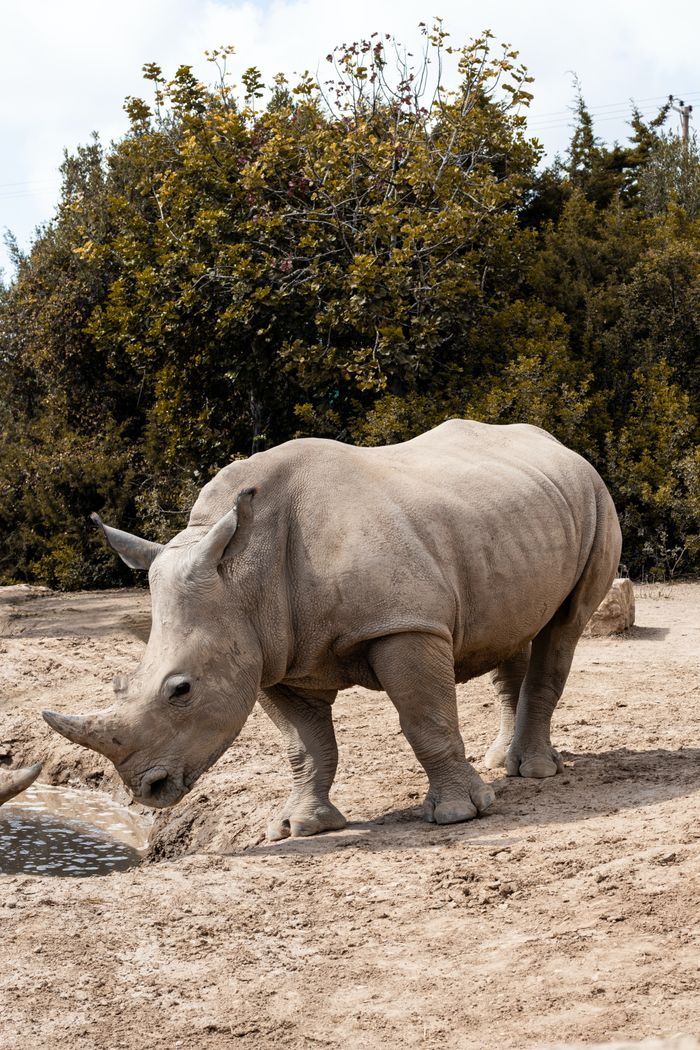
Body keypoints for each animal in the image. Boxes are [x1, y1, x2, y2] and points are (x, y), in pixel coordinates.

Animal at [43, 420, 621, 839]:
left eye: (181, 690)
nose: (147, 788)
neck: (242, 575)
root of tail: (561, 446)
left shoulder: (403, 626)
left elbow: (426, 720)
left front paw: (459, 815)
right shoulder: (270, 653)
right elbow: (306, 745)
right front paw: (299, 827)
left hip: (595, 498)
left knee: (564, 627)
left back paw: (534, 773)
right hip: (513, 518)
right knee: (514, 631)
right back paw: (502, 763)